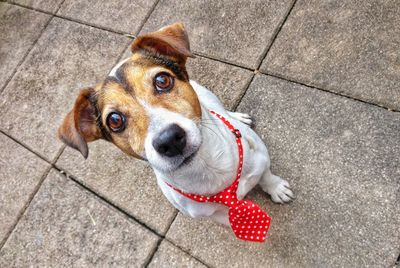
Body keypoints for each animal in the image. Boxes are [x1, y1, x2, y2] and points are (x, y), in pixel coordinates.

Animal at [57, 22, 292, 241]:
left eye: (162, 80)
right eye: (114, 120)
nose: (168, 140)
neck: (208, 170)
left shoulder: (260, 156)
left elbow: (266, 176)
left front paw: (277, 188)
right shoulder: (212, 214)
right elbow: (228, 218)